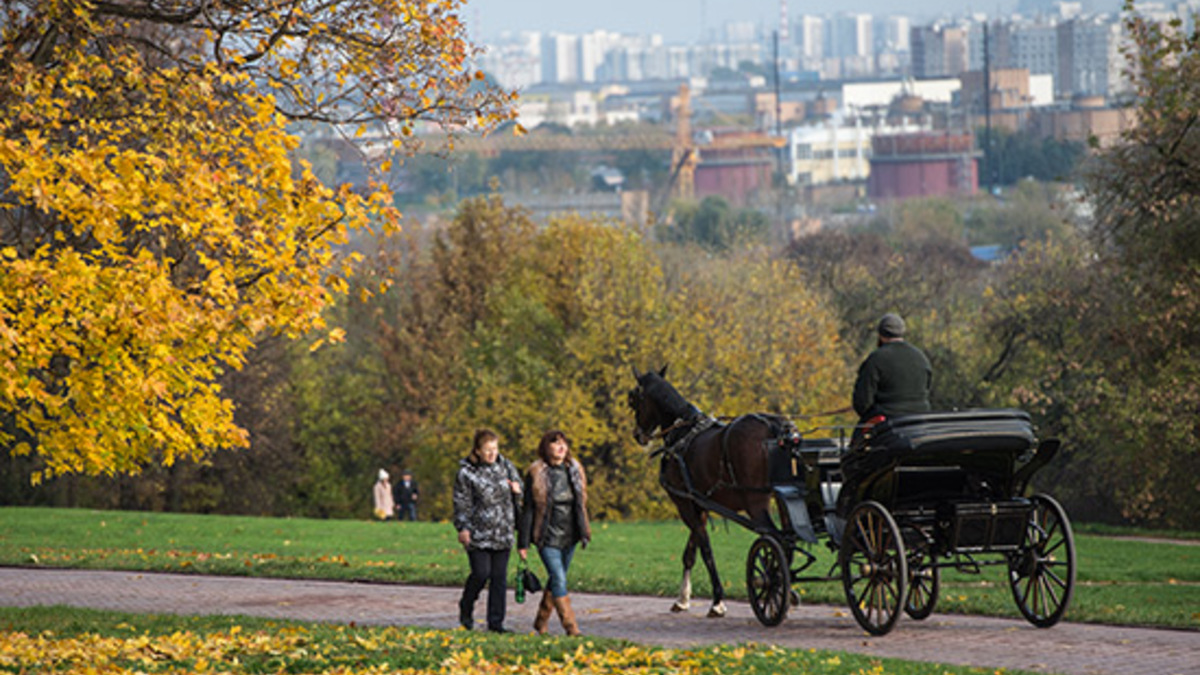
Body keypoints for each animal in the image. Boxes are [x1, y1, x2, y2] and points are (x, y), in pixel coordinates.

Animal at [628, 365, 787, 619]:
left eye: (634, 399)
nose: (637, 435)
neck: (683, 432)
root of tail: (772, 427)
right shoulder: (698, 504)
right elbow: (690, 553)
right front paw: (682, 599)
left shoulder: (684, 504)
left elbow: (706, 551)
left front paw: (717, 601)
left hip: (757, 503)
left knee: (777, 540)